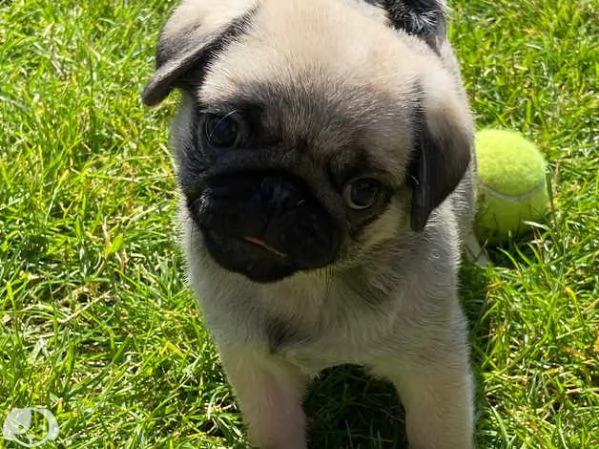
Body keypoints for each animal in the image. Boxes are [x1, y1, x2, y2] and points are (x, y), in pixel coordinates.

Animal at [143, 0, 480, 448]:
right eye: (223, 129)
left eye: (363, 192)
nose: (280, 192)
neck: (304, 286)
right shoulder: (257, 371)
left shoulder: (433, 372)